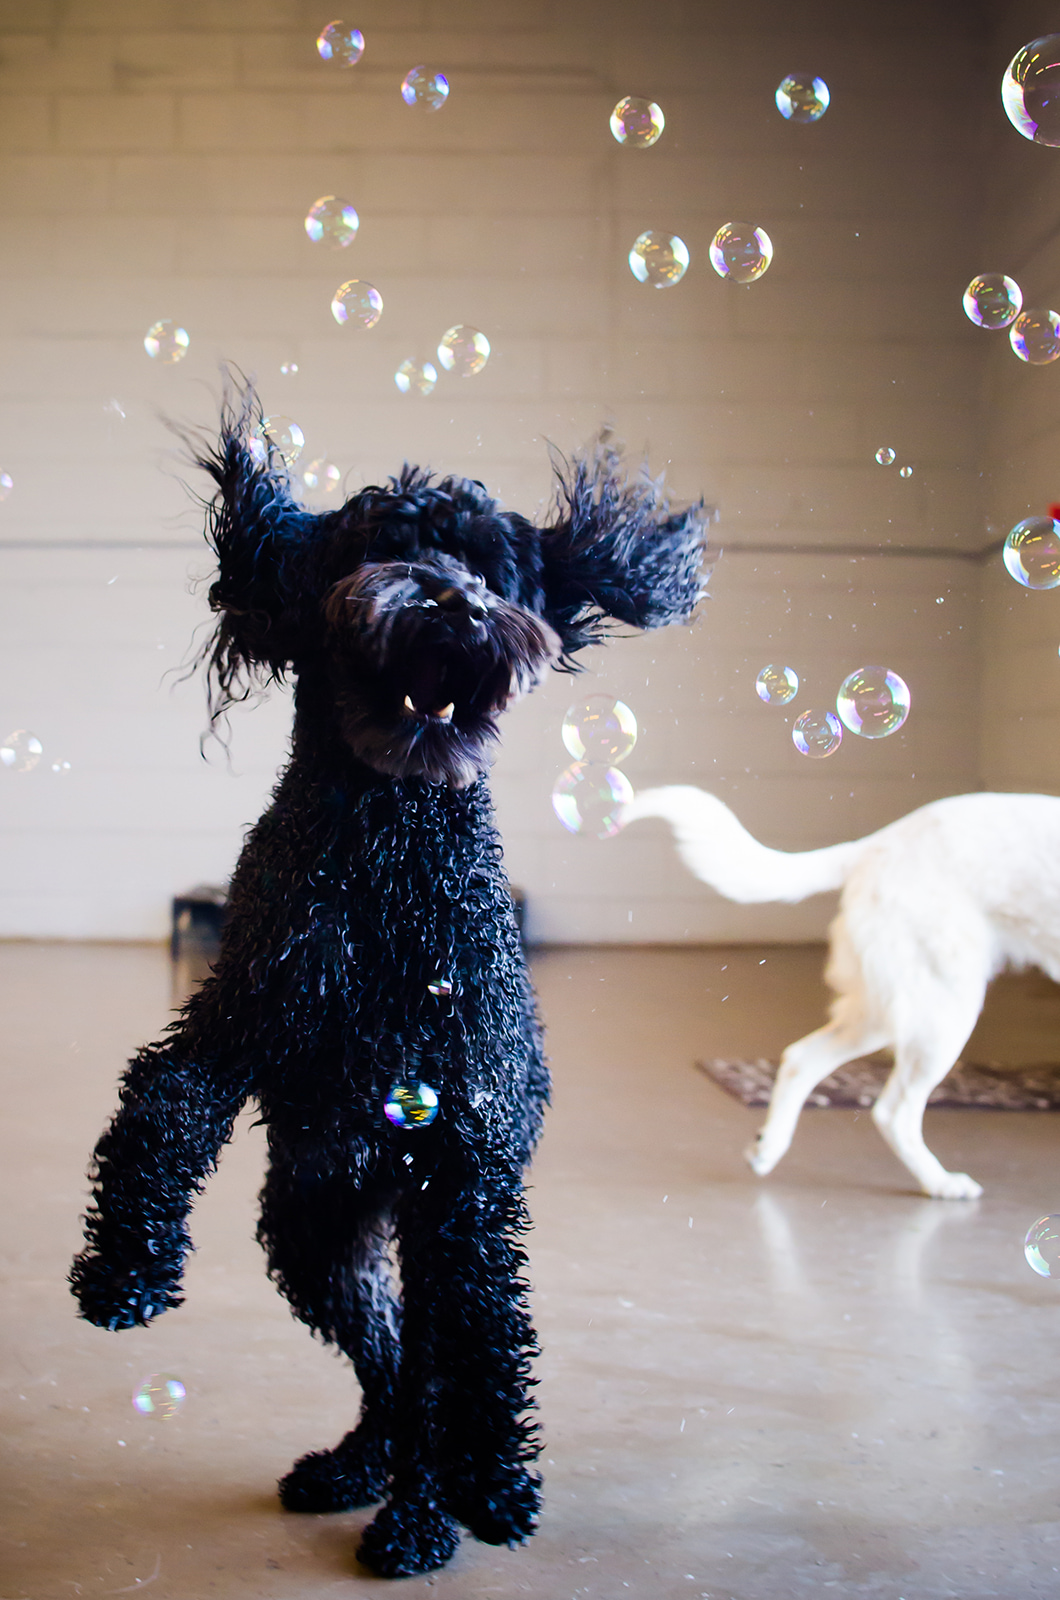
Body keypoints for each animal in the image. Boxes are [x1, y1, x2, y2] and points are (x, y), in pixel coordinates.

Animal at [70, 384, 710, 1574]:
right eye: (382, 545)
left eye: (493, 566)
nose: (454, 605)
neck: (388, 845)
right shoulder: (242, 1011)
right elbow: (163, 1100)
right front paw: (124, 1269)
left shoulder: (465, 1139)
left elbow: (482, 1343)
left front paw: (489, 1486)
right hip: (317, 1232)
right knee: (394, 1362)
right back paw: (364, 1467)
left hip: (412, 1226)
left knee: (443, 1363)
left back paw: (432, 1510)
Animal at [624, 787, 1060, 1203]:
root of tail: (875, 845)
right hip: (942, 1009)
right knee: (892, 1113)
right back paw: (939, 1183)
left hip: (889, 1011)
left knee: (801, 1059)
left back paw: (770, 1148)